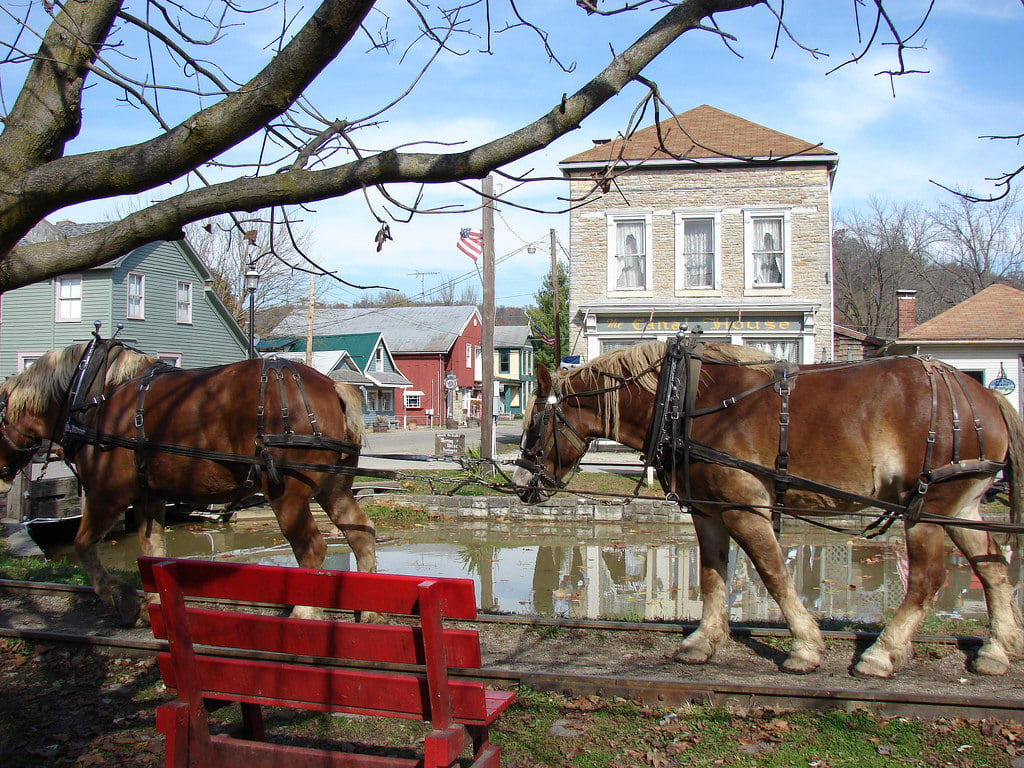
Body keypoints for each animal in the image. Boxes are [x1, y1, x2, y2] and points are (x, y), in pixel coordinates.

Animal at [0, 342, 376, 626]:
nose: (3, 475)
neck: (95, 395)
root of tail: (331, 386)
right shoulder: (149, 496)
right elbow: (151, 552)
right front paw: (155, 603)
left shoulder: (108, 492)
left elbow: (83, 545)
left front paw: (122, 598)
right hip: (333, 487)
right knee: (360, 533)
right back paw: (370, 611)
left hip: (288, 494)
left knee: (312, 548)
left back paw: (304, 613)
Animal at [512, 339, 1024, 675]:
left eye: (535, 423)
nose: (520, 485)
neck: (683, 402)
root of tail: (985, 395)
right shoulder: (708, 510)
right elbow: (712, 576)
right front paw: (704, 641)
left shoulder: (745, 508)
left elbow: (774, 573)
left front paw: (805, 646)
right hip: (961, 507)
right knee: (993, 568)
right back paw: (996, 649)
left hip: (928, 509)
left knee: (927, 579)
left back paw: (882, 652)